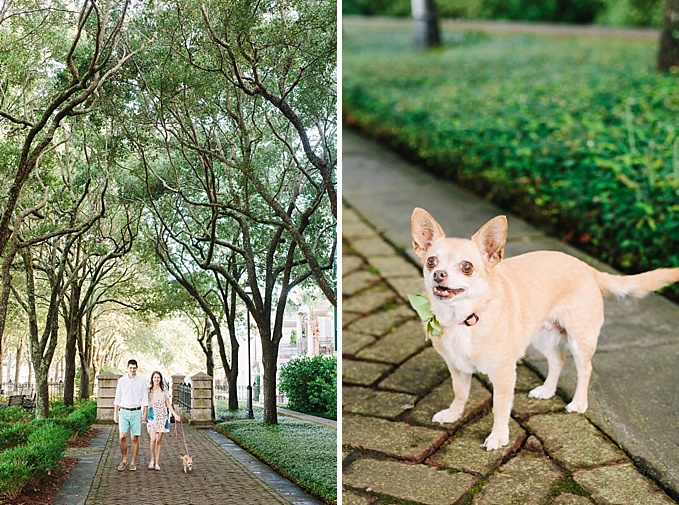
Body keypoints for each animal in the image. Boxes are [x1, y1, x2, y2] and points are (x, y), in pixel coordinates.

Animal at [410, 207, 679, 450]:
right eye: (431, 262)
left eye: (467, 267)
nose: (438, 274)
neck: (464, 318)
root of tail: (587, 268)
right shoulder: (457, 367)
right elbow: (460, 393)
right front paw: (453, 414)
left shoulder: (504, 374)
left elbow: (500, 407)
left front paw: (498, 437)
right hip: (543, 336)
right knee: (558, 359)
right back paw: (548, 390)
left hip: (580, 339)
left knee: (585, 368)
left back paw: (578, 403)